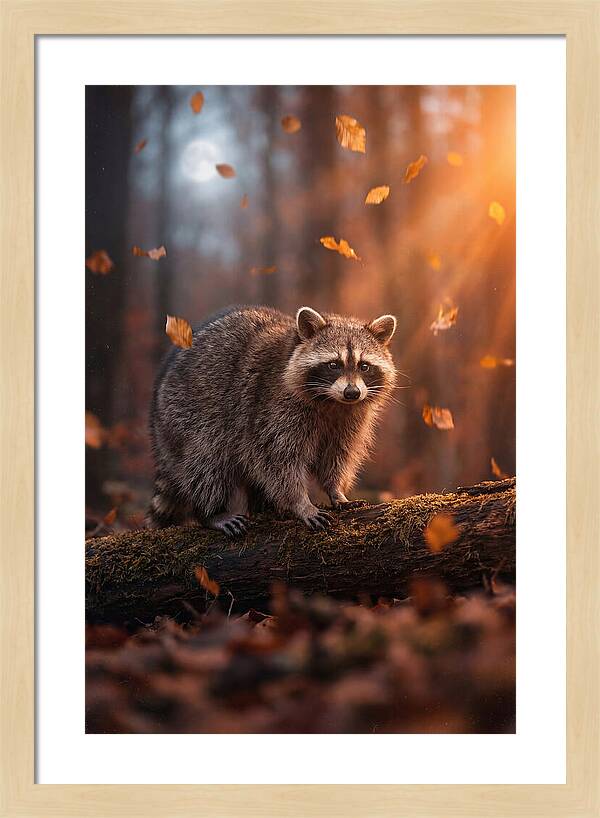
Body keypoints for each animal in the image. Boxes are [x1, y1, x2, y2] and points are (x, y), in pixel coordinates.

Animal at [147, 305, 397, 536]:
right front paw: (301, 503)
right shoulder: (271, 408)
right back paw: (211, 512)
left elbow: (336, 456)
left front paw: (336, 490)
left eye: (364, 366)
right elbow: (278, 460)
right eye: (334, 364)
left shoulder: (349, 420)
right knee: (207, 462)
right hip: (187, 415)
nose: (352, 392)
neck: (332, 402)